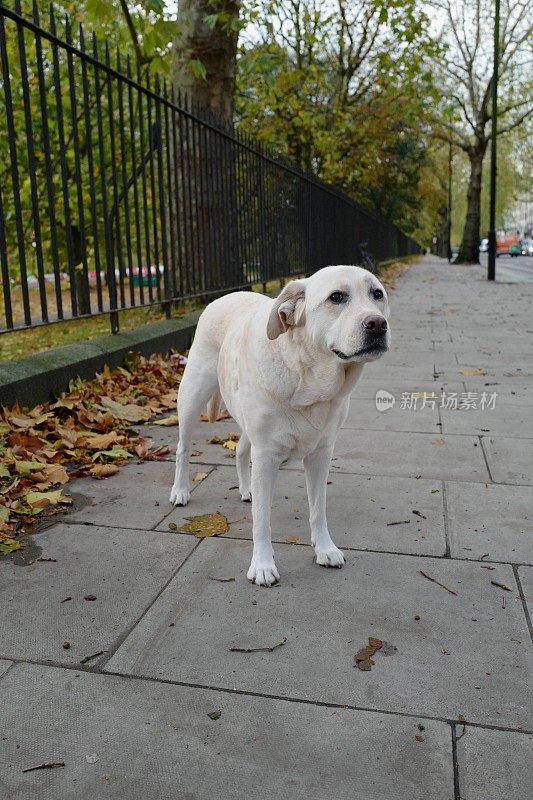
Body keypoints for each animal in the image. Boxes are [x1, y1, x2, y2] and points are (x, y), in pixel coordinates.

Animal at [171, 266, 390, 584]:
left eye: (377, 294)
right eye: (336, 297)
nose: (378, 324)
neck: (307, 379)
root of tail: (226, 296)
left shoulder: (321, 454)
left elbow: (318, 508)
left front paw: (324, 548)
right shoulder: (266, 456)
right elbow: (262, 520)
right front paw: (262, 565)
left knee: (240, 450)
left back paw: (246, 488)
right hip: (192, 397)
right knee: (183, 449)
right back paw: (180, 491)